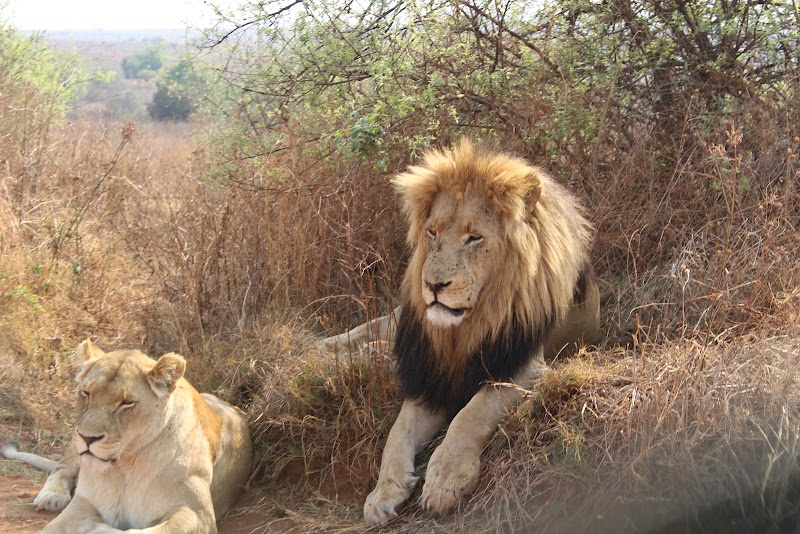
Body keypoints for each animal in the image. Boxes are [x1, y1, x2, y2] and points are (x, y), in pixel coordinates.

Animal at [1, 340, 253, 534]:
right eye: (86, 393)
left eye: (126, 403)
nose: (87, 438)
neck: (125, 466)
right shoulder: (83, 503)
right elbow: (53, 527)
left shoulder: (196, 513)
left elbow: (136, 532)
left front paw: (100, 529)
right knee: (60, 468)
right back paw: (51, 497)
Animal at [321, 140, 598, 525]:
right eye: (432, 232)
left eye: (473, 238)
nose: (433, 285)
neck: (464, 327)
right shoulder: (430, 377)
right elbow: (397, 433)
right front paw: (382, 493)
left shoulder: (522, 367)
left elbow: (471, 415)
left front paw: (445, 480)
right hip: (400, 319)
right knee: (371, 327)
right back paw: (329, 348)